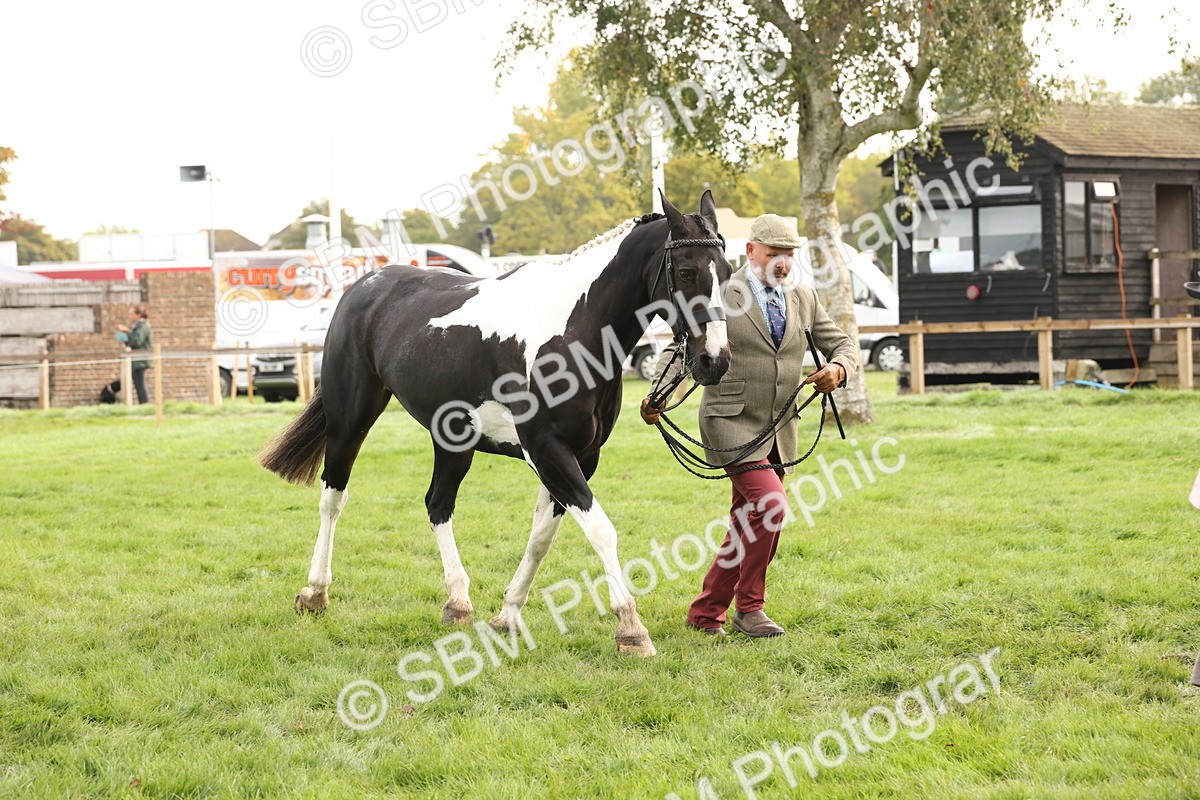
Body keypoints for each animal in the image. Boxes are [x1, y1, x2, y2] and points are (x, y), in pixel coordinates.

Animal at [258, 191, 732, 656]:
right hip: (350, 419)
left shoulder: (582, 456)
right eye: (686, 272)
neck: (576, 330)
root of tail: (364, 287)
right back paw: (315, 592)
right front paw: (631, 628)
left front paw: (507, 615)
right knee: (333, 497)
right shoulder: (547, 449)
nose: (715, 360)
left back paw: (457, 602)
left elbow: (542, 536)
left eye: (727, 272)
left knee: (437, 503)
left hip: (453, 440)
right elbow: (601, 530)